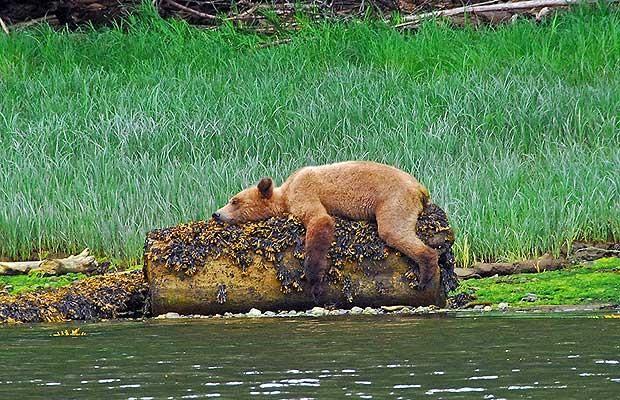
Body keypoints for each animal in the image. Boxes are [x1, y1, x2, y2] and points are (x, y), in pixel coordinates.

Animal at [216, 161, 438, 302]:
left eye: (234, 201)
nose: (216, 213)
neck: (285, 195)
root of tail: (420, 188)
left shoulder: (304, 190)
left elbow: (319, 221)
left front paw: (314, 282)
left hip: (394, 199)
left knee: (393, 230)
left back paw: (425, 274)